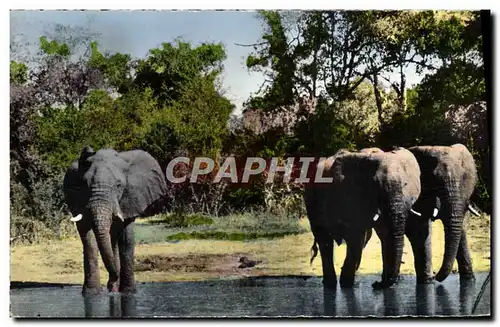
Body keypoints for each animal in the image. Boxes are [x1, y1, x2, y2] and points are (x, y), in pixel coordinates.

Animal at [63, 147, 166, 296]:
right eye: (86, 185)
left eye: (118, 185)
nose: (112, 280)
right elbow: (88, 239)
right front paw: (91, 293)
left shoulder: (131, 198)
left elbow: (126, 239)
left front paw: (128, 292)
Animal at [304, 148, 422, 290]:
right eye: (376, 186)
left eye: (405, 184)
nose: (376, 284)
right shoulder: (351, 196)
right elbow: (355, 236)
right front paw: (347, 284)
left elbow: (383, 234)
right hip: (311, 199)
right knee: (324, 238)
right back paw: (332, 284)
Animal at [410, 144, 480, 284]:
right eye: (434, 178)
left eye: (465, 178)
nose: (436, 276)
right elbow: (421, 227)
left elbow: (461, 227)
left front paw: (469, 280)